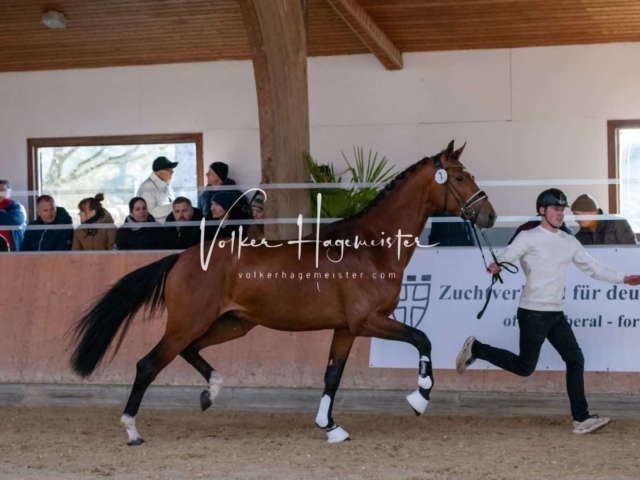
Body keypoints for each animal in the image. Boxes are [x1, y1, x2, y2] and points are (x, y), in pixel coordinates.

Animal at [72, 141, 498, 444]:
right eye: (460, 178)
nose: (489, 215)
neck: (371, 247)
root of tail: (182, 257)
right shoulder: (369, 320)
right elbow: (423, 339)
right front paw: (419, 398)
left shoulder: (346, 328)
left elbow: (332, 376)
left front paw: (330, 427)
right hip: (188, 323)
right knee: (148, 364)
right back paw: (132, 430)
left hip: (232, 324)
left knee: (190, 352)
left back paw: (211, 393)